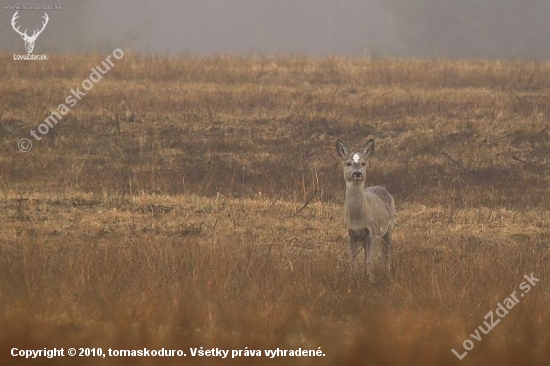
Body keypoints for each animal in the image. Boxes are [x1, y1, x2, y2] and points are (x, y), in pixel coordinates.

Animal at [336, 139, 396, 274]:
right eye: (348, 163)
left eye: (363, 163)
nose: (357, 173)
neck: (358, 218)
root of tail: (383, 188)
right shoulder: (350, 233)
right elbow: (353, 262)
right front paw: (353, 277)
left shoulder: (371, 232)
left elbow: (369, 262)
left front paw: (370, 278)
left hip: (389, 227)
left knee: (386, 254)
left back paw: (387, 273)